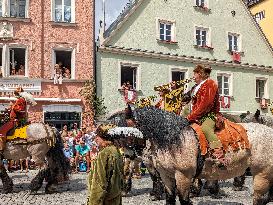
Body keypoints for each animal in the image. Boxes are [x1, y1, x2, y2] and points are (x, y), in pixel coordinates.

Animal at [122, 107, 272, 205]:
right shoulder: (166, 175)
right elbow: (169, 198)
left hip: (262, 172)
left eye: (130, 130)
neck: (175, 140)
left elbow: (184, 200)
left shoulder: (183, 176)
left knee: (259, 198)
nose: (128, 155)